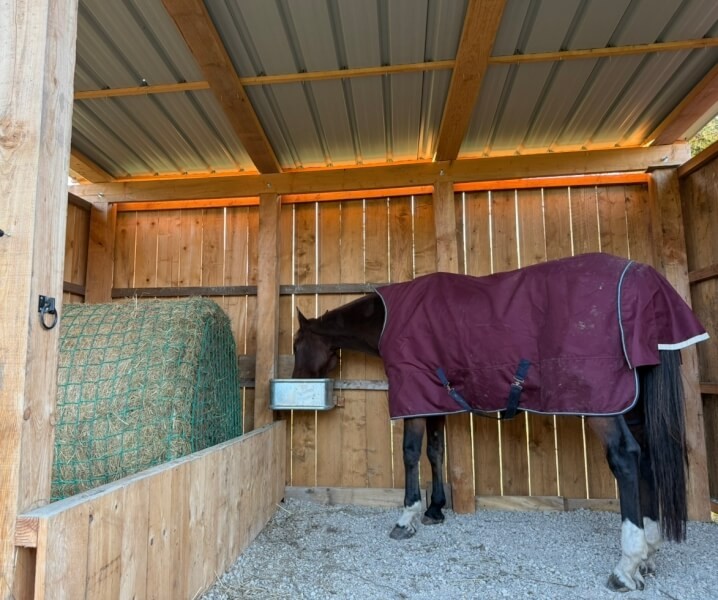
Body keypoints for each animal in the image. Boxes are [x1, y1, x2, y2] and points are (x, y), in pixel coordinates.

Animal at [291, 253, 708, 592]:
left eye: (296, 344)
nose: (296, 379)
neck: (390, 319)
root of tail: (641, 275)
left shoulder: (413, 397)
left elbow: (410, 453)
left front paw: (407, 517)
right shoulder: (434, 398)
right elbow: (435, 451)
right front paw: (435, 510)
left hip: (602, 405)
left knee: (626, 457)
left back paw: (626, 565)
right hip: (632, 406)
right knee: (648, 457)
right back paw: (649, 552)